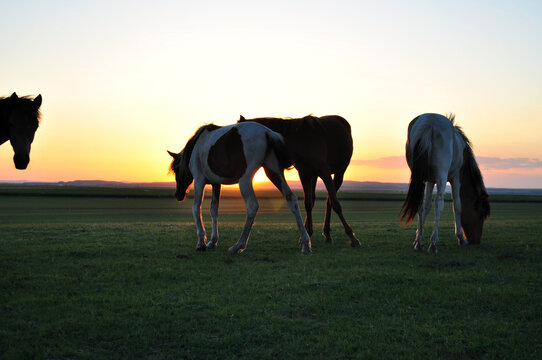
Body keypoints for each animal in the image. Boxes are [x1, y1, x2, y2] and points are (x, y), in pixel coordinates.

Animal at [168, 122, 312, 255]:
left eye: (175, 169)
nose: (178, 195)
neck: (196, 146)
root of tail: (267, 132)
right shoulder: (216, 184)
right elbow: (214, 210)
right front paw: (212, 242)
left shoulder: (199, 181)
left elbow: (196, 208)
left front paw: (201, 243)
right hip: (273, 172)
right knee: (291, 199)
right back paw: (305, 244)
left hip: (245, 180)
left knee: (252, 206)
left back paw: (238, 246)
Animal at [239, 115, 362, 248]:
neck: (301, 140)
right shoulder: (304, 174)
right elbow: (308, 203)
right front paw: (307, 233)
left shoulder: (325, 172)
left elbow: (335, 204)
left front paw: (352, 237)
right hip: (313, 176)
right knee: (314, 200)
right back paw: (323, 233)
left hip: (339, 173)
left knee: (329, 201)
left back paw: (327, 234)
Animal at [400, 113, 492, 253]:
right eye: (481, 214)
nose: (476, 241)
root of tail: (430, 122)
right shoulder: (456, 179)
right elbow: (457, 206)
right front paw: (461, 238)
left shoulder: (430, 180)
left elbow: (426, 206)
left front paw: (418, 240)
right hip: (441, 175)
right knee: (438, 203)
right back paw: (433, 244)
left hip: (419, 177)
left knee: (420, 203)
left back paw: (420, 243)